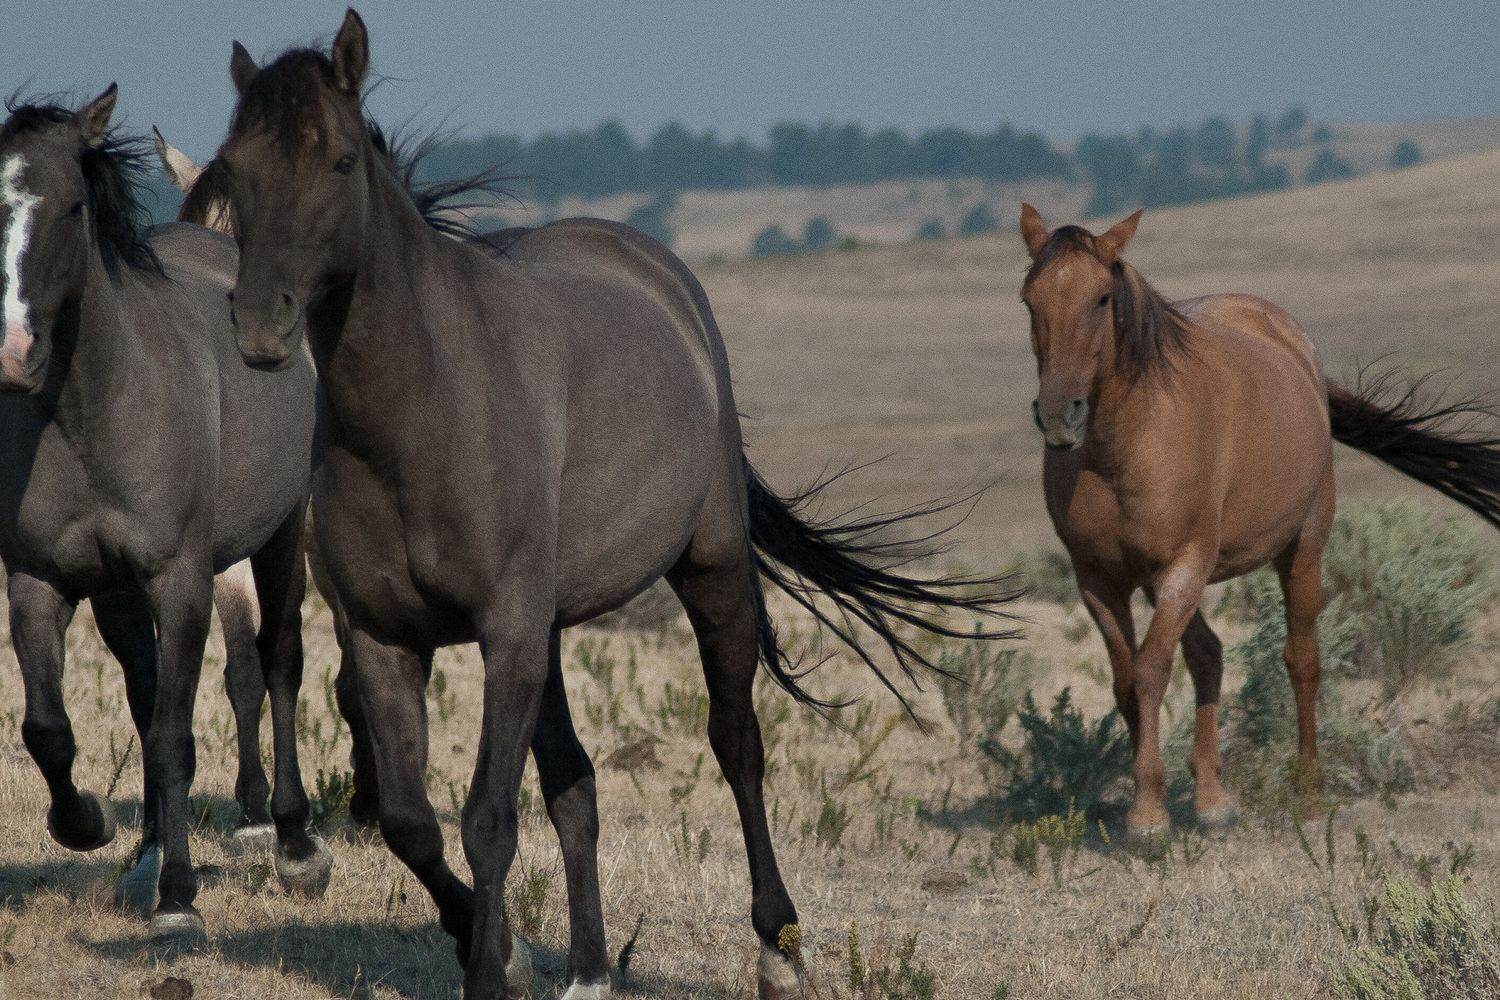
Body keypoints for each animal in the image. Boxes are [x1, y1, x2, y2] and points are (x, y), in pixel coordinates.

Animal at [0, 87, 334, 944]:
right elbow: (50, 728)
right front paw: (91, 825)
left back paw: (293, 844)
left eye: (73, 205)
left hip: (280, 537)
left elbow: (179, 732)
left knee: (281, 660)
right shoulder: (41, 581)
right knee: (147, 690)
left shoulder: (182, 578)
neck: (94, 412)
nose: (13, 351)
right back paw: (147, 850)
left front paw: (180, 900)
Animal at [208, 11, 1019, 999]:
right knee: (576, 785)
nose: (260, 325)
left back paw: (777, 947)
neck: (422, 411)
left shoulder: (508, 631)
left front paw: (492, 968)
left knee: (736, 743)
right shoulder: (385, 635)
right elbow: (412, 821)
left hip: (709, 570)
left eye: (338, 160)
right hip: (551, 632)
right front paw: (497, 947)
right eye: (236, 166)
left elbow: (487, 819)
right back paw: (591, 970)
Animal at [1017, 202, 1500, 841]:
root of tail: (1296, 345)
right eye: (1030, 299)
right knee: (1209, 654)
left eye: (1101, 298)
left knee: (1301, 661)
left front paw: (1147, 816)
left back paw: (1308, 794)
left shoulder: (1184, 564)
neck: (1121, 446)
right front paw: (1165, 801)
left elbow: (1150, 671)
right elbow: (1127, 680)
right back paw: (1214, 801)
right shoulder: (1099, 579)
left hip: (1300, 548)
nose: (1058, 416)